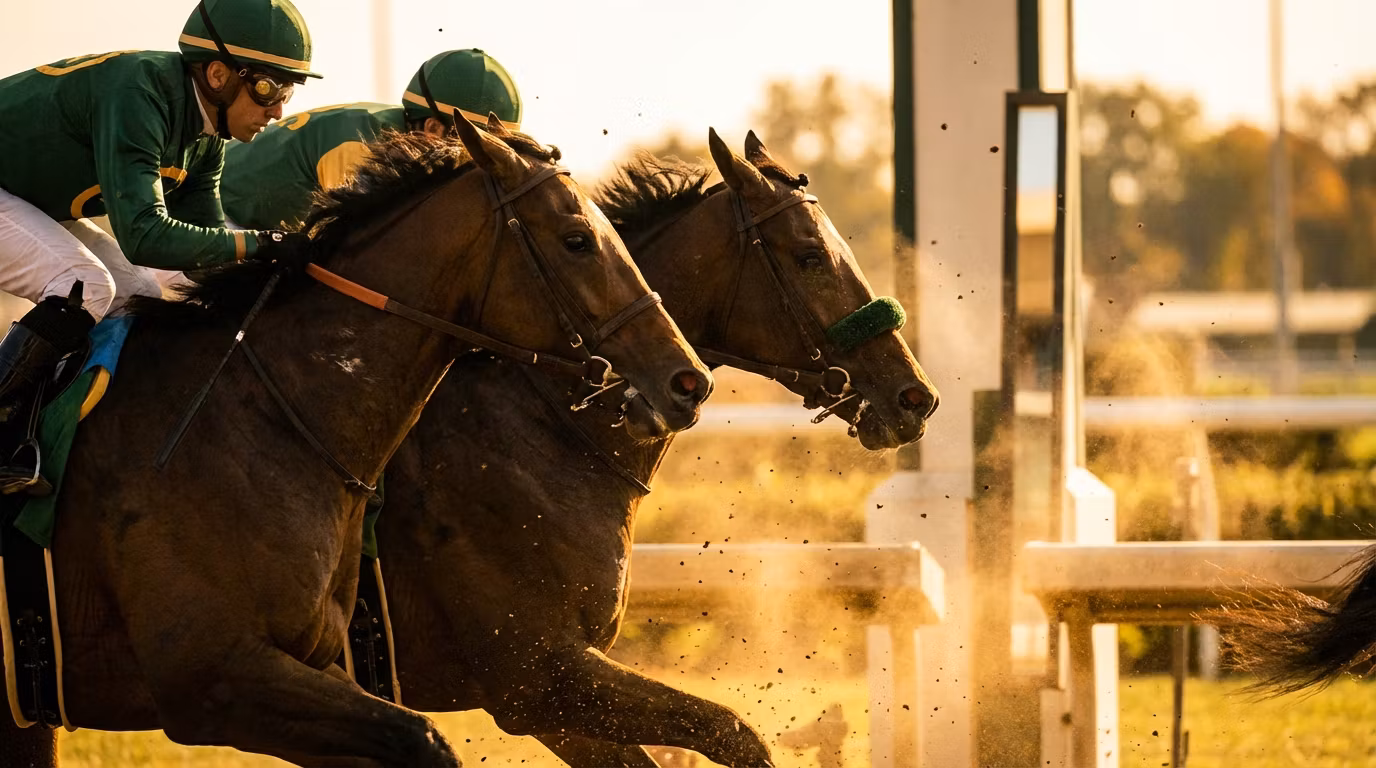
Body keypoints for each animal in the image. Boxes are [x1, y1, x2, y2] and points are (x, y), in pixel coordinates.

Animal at [375, 126, 939, 767]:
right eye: (810, 256)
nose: (915, 397)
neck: (533, 431)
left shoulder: (554, 696)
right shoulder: (538, 678)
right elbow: (733, 730)